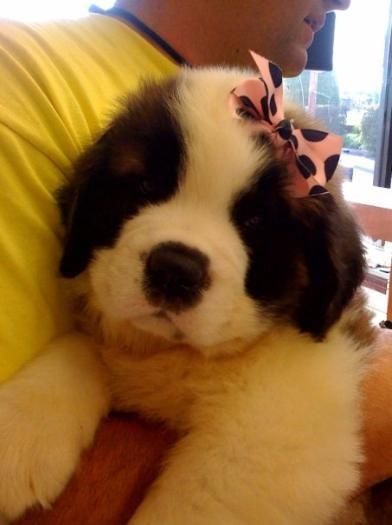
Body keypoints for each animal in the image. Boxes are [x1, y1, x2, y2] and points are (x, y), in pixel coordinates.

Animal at [0, 57, 376, 524]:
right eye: (145, 188)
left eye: (254, 221)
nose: (174, 270)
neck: (182, 356)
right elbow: (80, 348)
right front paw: (21, 430)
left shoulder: (281, 420)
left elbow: (204, 496)